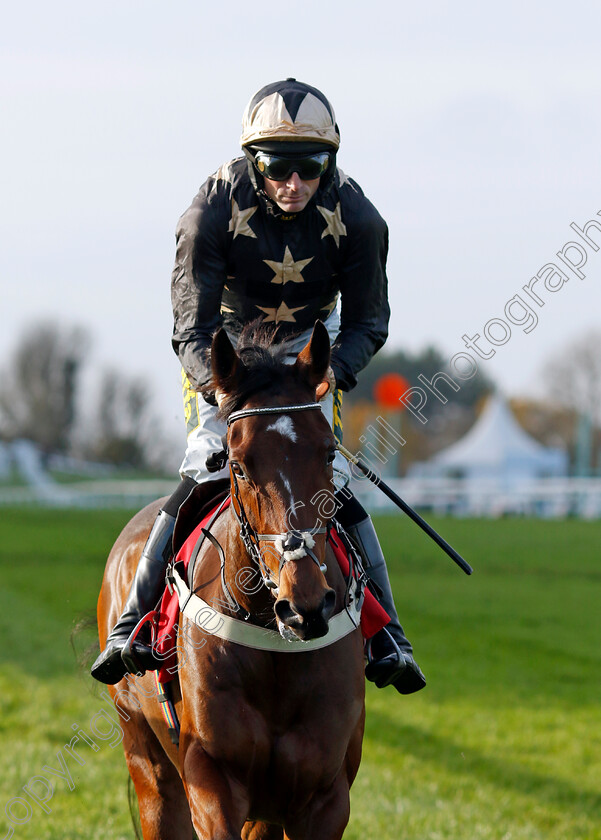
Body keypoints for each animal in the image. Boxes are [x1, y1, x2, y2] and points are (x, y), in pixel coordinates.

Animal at [96, 318, 364, 836]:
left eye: (327, 455)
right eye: (237, 465)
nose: (304, 605)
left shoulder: (324, 796)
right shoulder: (212, 778)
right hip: (147, 759)